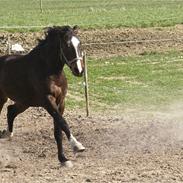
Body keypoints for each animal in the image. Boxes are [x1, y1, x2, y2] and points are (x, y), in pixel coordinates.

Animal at [0, 25, 86, 167]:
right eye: (67, 45)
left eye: (79, 43)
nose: (79, 70)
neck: (51, 72)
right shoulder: (47, 101)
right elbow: (63, 123)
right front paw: (77, 146)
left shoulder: (60, 102)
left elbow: (58, 131)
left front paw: (63, 159)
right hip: (4, 99)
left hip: (24, 102)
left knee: (10, 110)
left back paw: (7, 134)